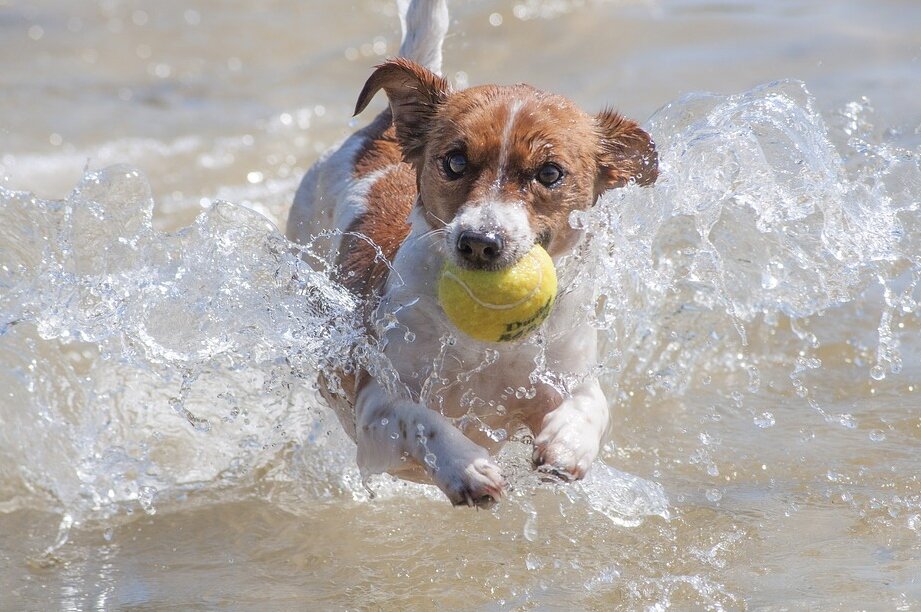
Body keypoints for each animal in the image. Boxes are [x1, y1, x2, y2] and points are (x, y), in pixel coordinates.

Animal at [288, 0, 656, 506]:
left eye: (550, 173)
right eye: (455, 161)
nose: (480, 241)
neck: (489, 349)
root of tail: (381, 129)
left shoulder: (566, 375)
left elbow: (589, 403)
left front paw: (568, 444)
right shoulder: (374, 408)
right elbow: (420, 419)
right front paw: (464, 466)